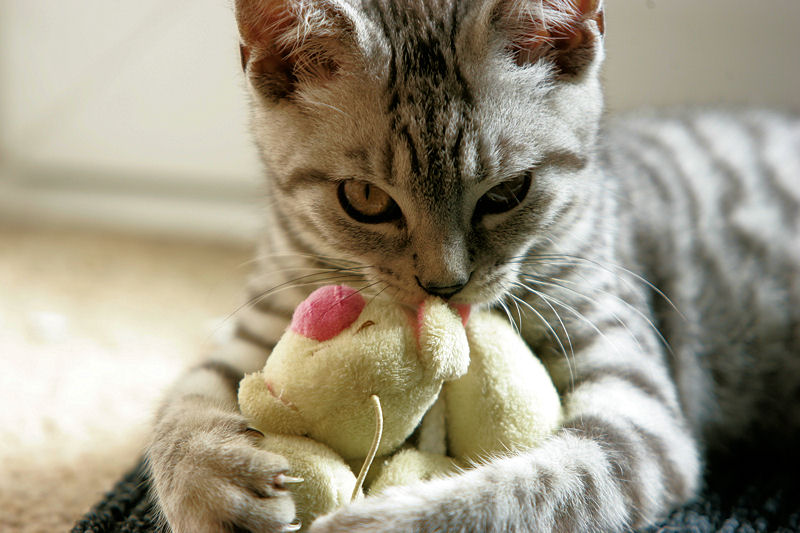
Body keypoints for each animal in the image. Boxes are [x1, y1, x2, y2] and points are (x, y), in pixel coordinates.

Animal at [145, 0, 800, 528]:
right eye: (364, 199)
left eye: (508, 193)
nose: (444, 285)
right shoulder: (260, 322)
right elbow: (179, 407)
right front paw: (211, 477)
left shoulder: (638, 417)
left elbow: (539, 485)